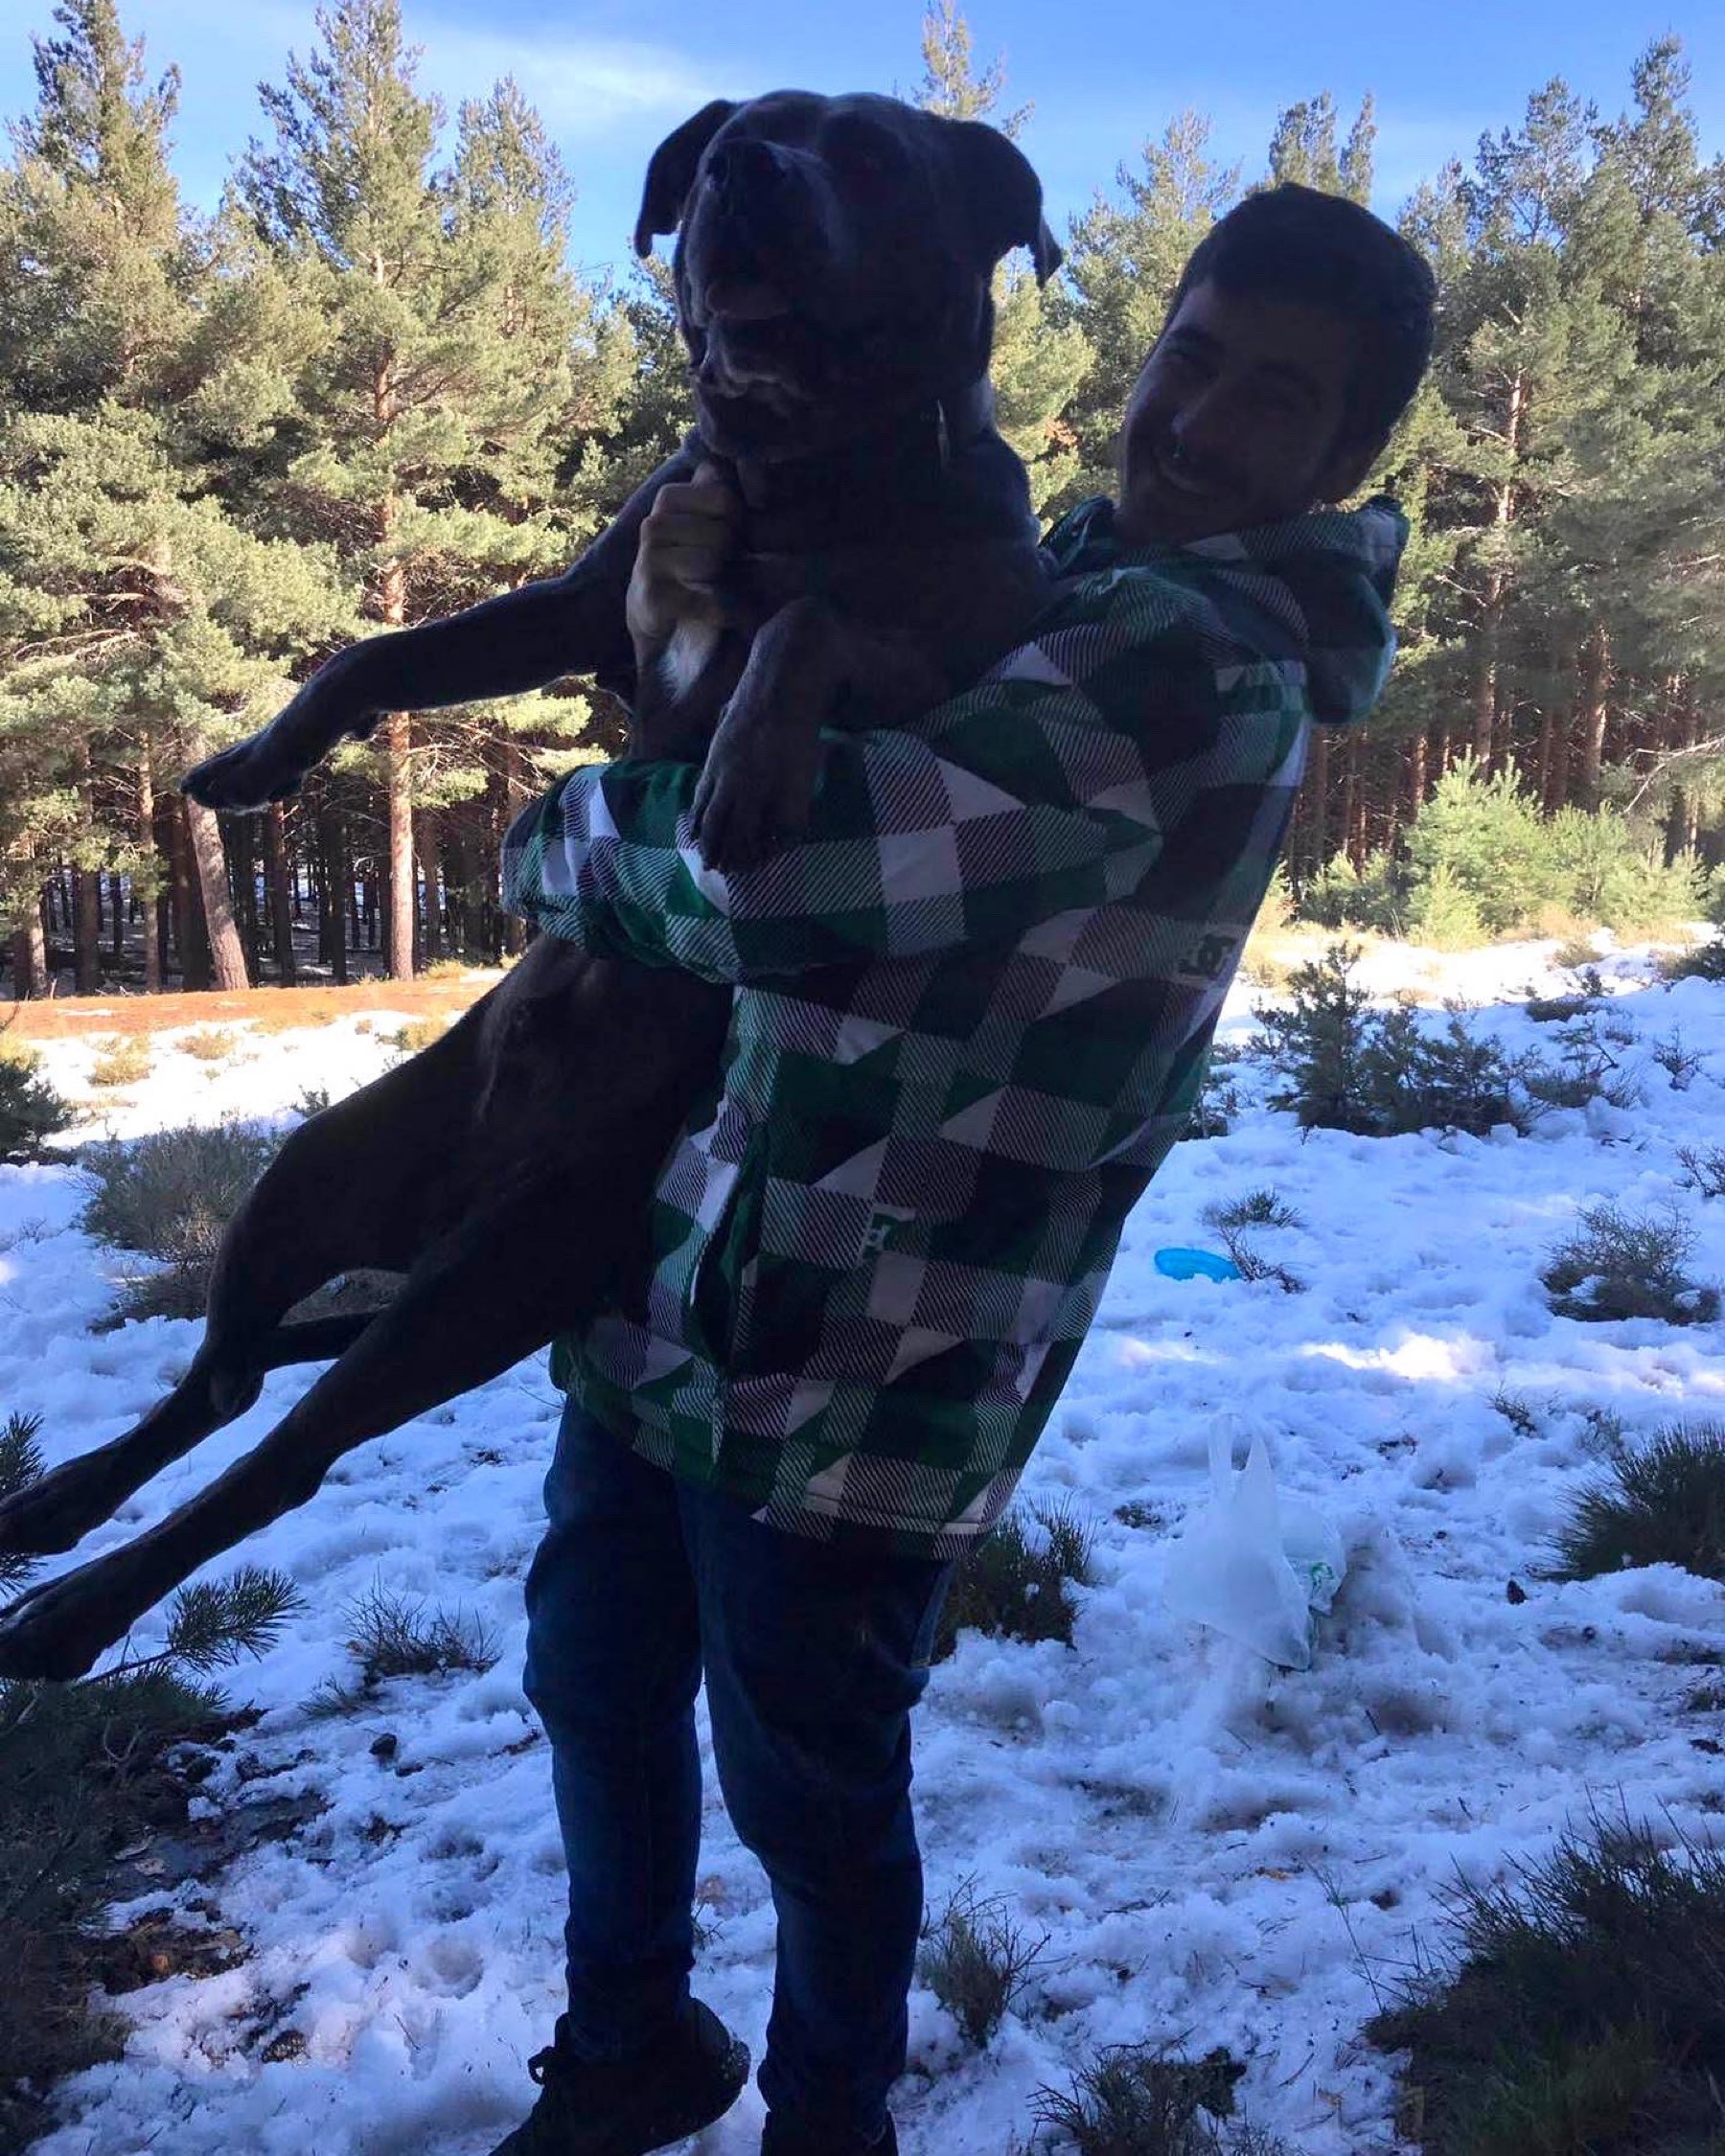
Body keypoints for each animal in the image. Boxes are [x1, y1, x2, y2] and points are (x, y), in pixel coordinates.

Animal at [0, 91, 1061, 1682]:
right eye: (741, 137)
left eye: (872, 155)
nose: (742, 169)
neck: (797, 472)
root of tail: (474, 1184)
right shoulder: (574, 610)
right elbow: (379, 652)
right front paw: (259, 757)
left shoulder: (952, 658)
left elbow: (807, 624)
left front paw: (749, 761)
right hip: (315, 1176)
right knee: (226, 1372)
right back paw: (63, 1500)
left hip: (500, 1266)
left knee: (286, 1442)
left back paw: (77, 1607)